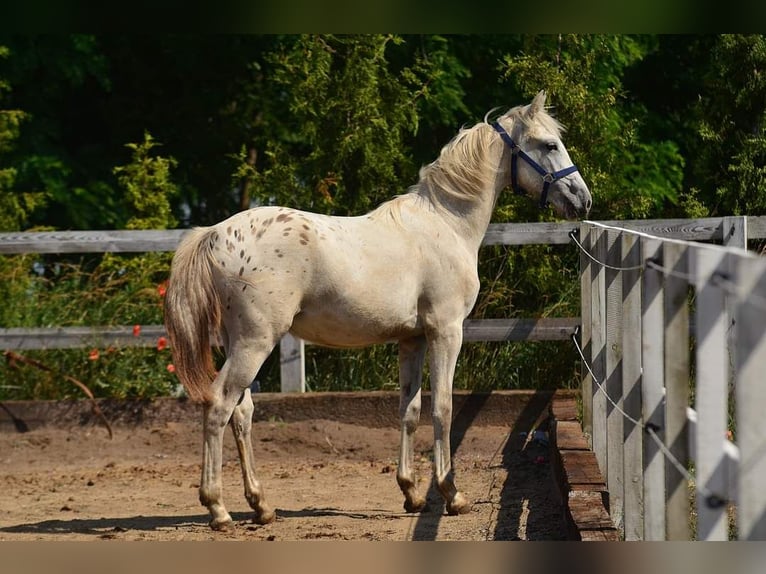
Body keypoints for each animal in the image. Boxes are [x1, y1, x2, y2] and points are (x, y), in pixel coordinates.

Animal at [164, 91, 592, 532]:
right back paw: (218, 508)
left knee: (242, 412)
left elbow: (410, 410)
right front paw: (451, 493)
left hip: (239, 343)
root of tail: (214, 234)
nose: (582, 198)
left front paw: (412, 492)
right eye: (549, 145)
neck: (447, 223)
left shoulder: (412, 339)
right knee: (219, 406)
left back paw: (261, 505)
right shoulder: (446, 331)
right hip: (255, 343)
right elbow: (443, 408)